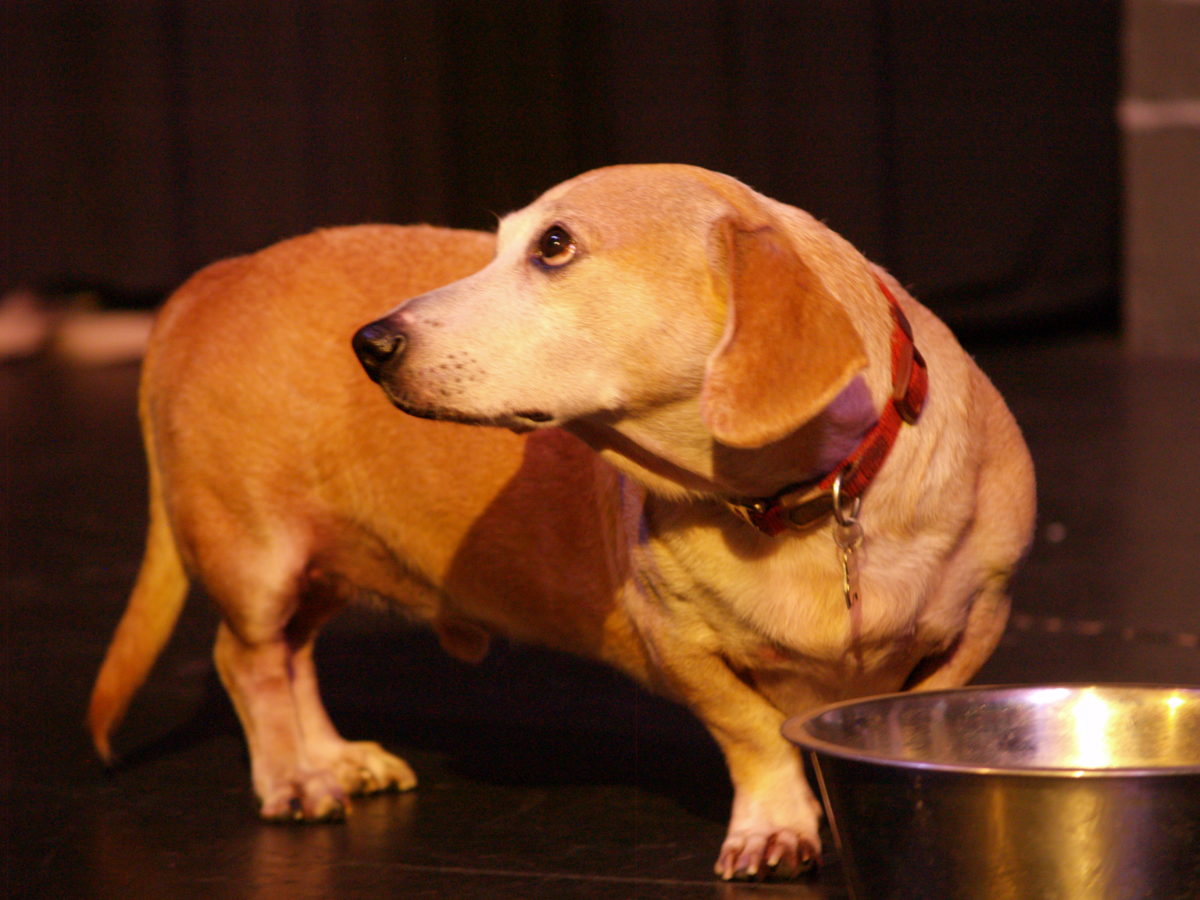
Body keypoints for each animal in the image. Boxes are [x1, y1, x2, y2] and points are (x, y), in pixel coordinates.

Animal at [88, 165, 1036, 883]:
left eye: (554, 246)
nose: (370, 344)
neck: (800, 501)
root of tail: (218, 277)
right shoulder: (682, 647)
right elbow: (753, 733)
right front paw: (776, 825)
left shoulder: (980, 618)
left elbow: (911, 702)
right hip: (260, 559)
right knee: (247, 660)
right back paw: (294, 776)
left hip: (329, 567)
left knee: (294, 657)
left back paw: (332, 757)